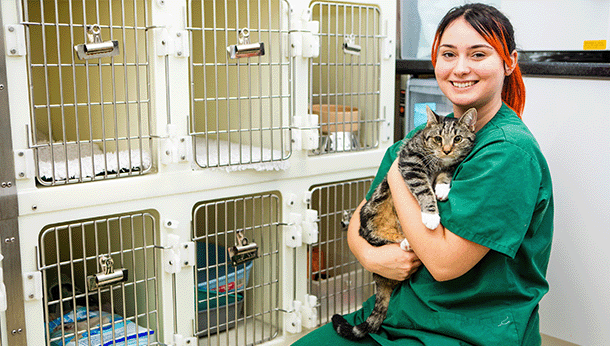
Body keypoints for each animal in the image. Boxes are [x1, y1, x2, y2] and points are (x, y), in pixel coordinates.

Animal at [330, 106, 478, 340]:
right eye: (437, 138)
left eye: (457, 138)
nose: (446, 150)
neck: (438, 162)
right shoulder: (410, 163)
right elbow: (424, 189)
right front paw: (431, 214)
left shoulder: (450, 166)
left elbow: (445, 175)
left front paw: (442, 189)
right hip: (370, 216)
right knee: (376, 238)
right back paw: (406, 242)